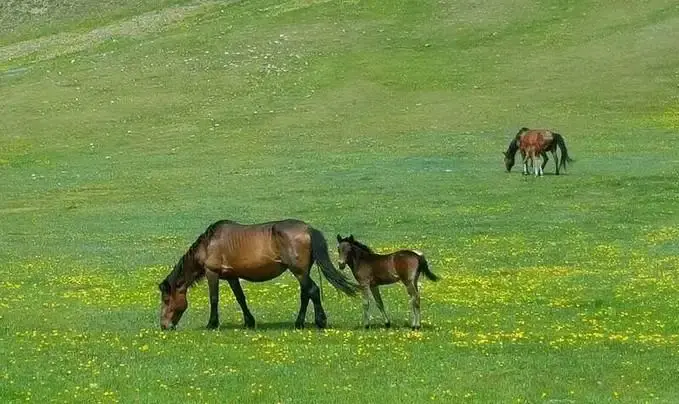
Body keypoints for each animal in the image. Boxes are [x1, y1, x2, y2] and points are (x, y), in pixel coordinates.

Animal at [158, 219, 359, 331]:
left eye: (166, 300)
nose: (164, 326)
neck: (208, 244)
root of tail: (308, 229)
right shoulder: (231, 276)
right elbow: (241, 298)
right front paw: (249, 322)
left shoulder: (212, 273)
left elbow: (214, 299)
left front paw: (212, 324)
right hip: (302, 272)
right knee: (305, 294)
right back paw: (299, 323)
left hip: (299, 272)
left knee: (313, 291)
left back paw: (320, 321)